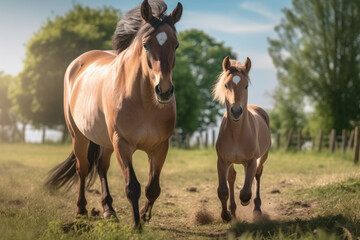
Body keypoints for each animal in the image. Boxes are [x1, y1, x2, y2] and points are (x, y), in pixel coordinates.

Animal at [45, 0, 183, 229]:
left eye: (176, 45)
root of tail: (78, 62)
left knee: (101, 168)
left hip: (106, 142)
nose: (163, 91)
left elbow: (153, 187)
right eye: (146, 44)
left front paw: (144, 216)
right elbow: (132, 186)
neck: (145, 101)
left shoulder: (160, 146)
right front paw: (136, 226)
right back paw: (81, 211)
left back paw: (109, 210)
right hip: (79, 137)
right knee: (83, 170)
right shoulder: (123, 144)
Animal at [212, 55, 272, 221]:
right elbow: (223, 190)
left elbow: (245, 192)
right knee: (232, 177)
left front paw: (246, 203)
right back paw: (232, 210)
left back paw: (257, 208)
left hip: (263, 157)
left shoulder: (251, 161)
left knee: (257, 175)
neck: (237, 134)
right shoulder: (222, 161)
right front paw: (226, 215)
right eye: (226, 85)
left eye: (245, 86)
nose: (236, 111)